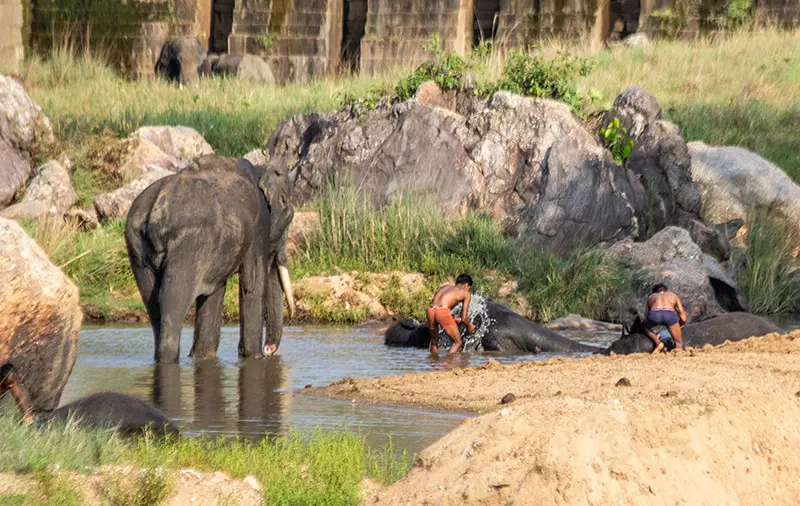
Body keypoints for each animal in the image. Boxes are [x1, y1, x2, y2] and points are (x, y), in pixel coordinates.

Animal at [126, 155, 296, 364]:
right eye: (289, 216)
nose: (269, 350)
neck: (260, 169)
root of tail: (157, 209)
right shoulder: (258, 227)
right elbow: (252, 284)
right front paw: (255, 357)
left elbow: (214, 293)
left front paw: (203, 357)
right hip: (190, 244)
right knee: (172, 304)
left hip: (136, 248)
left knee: (153, 306)